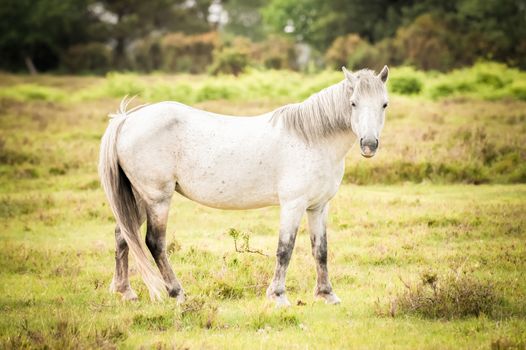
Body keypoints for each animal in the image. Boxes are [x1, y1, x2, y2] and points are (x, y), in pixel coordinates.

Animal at [100, 65, 388, 306]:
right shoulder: (292, 205)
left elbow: (321, 250)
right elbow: (285, 249)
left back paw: (125, 292)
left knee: (123, 235)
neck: (312, 139)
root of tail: (126, 120)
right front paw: (278, 296)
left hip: (139, 198)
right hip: (157, 199)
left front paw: (327, 295)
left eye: (384, 104)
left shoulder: (318, 207)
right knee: (155, 242)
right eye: (353, 103)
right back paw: (177, 293)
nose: (369, 145)